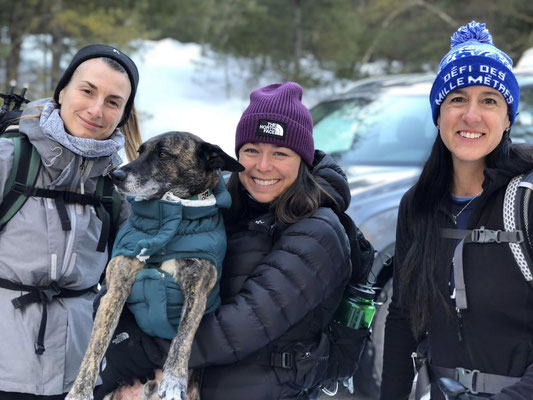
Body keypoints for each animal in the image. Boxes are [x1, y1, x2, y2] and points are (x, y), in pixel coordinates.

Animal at [65, 132, 245, 400]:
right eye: (140, 152)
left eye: (162, 154)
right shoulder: (116, 288)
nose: (115, 175)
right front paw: (80, 391)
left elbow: (182, 337)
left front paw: (173, 379)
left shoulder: (197, 290)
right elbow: (96, 345)